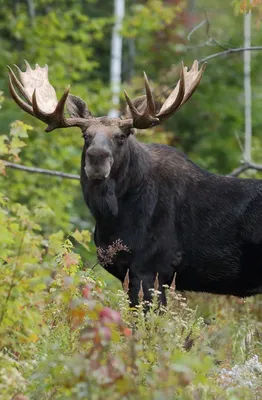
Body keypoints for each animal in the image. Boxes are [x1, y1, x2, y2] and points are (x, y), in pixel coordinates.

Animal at [7, 60, 262, 306]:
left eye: (121, 136)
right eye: (85, 136)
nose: (97, 157)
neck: (112, 216)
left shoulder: (153, 267)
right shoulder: (127, 273)